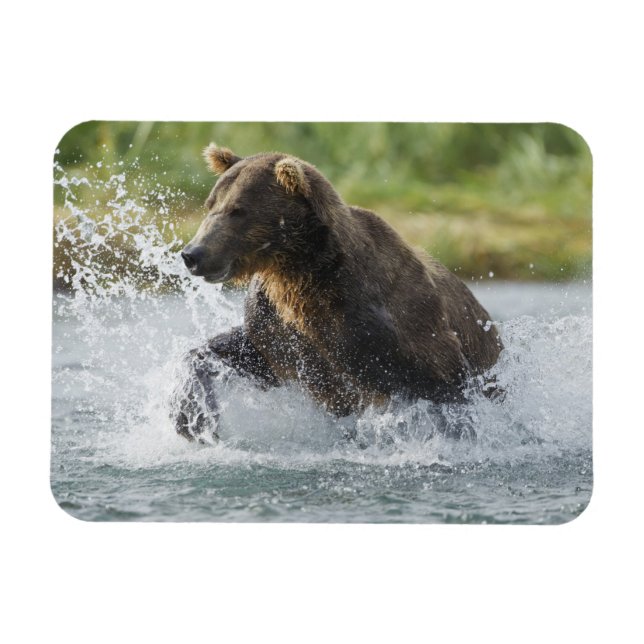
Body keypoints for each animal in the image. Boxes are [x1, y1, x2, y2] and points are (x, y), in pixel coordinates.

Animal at [170, 143, 503, 442]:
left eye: (238, 211)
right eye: (210, 204)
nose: (193, 254)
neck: (301, 273)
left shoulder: (387, 326)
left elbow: (441, 384)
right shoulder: (279, 328)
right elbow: (241, 352)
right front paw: (193, 418)